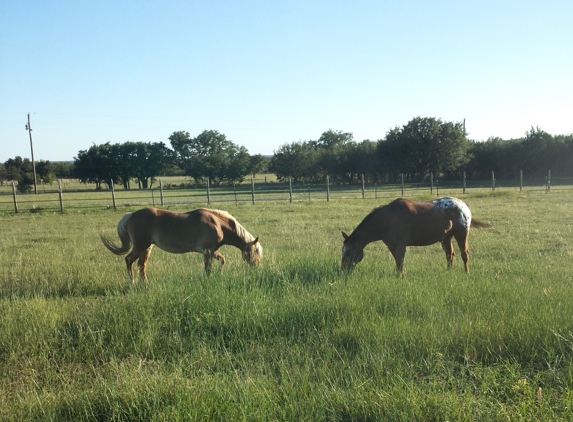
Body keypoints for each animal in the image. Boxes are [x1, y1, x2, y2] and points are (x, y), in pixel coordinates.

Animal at [100, 207, 262, 284]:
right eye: (256, 252)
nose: (257, 267)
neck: (218, 224)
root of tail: (131, 215)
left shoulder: (211, 251)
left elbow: (222, 260)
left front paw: (219, 274)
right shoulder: (207, 251)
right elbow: (207, 269)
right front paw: (208, 279)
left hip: (147, 248)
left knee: (141, 265)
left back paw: (145, 283)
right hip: (140, 247)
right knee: (129, 260)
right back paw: (132, 283)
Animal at [340, 197, 492, 274]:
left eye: (348, 253)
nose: (342, 271)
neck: (388, 219)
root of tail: (464, 205)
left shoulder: (401, 245)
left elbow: (400, 262)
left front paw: (400, 278)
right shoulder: (392, 246)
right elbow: (397, 262)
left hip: (461, 234)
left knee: (464, 254)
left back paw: (466, 273)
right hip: (446, 237)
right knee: (450, 254)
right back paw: (448, 271)